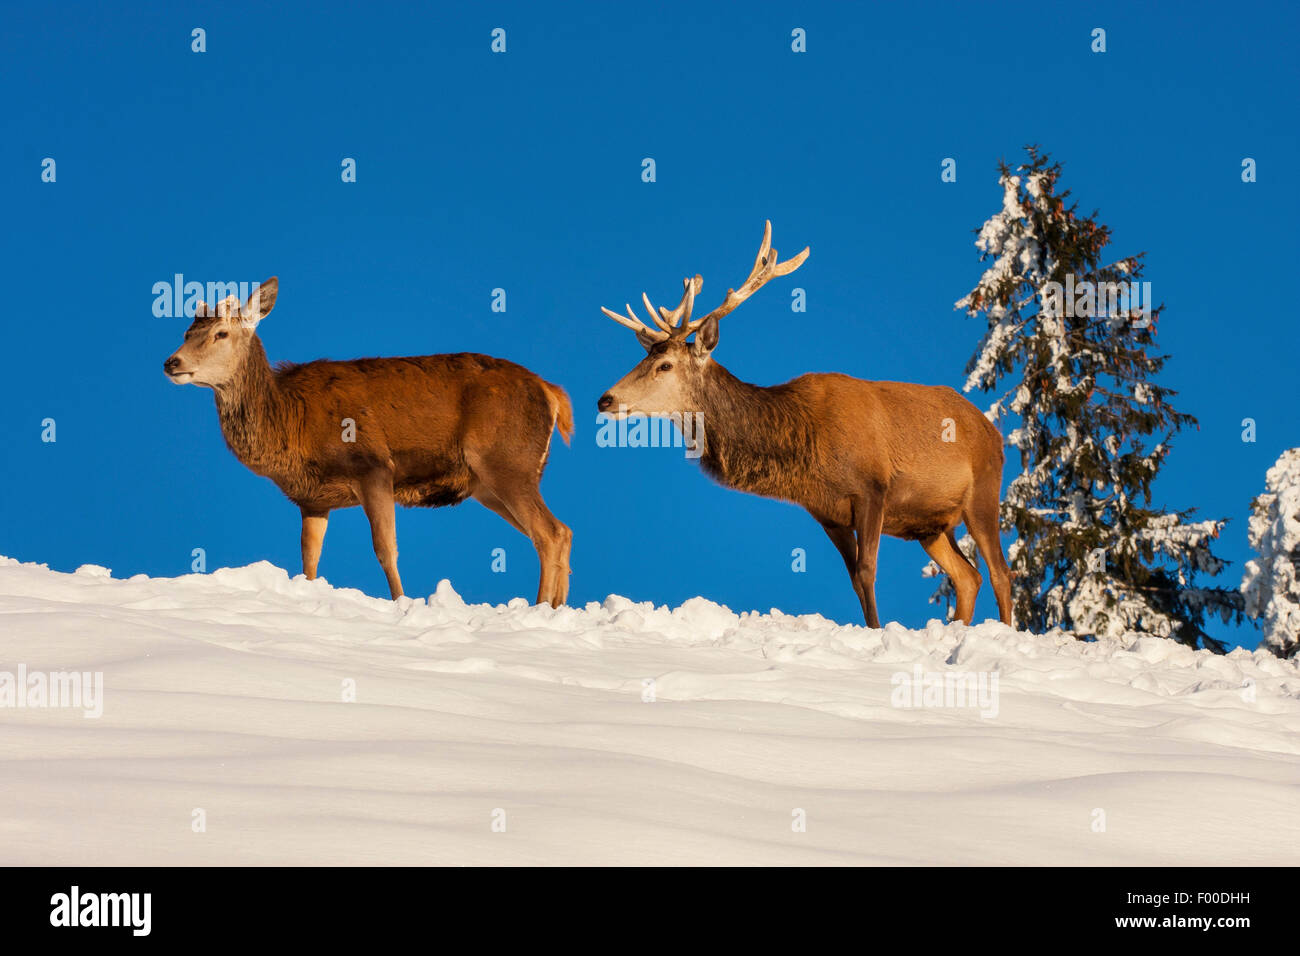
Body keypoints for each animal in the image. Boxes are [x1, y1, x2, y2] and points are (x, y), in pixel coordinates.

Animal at [165, 278, 572, 606]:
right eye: (186, 332)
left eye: (221, 333)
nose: (171, 362)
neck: (290, 423)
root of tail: (551, 392)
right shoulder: (313, 499)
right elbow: (309, 560)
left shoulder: (374, 465)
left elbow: (385, 549)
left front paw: (401, 603)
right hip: (488, 485)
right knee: (562, 532)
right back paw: (556, 608)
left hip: (506, 462)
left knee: (549, 533)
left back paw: (540, 608)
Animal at [598, 223, 1013, 629]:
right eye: (644, 358)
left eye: (665, 365)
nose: (605, 399)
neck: (804, 445)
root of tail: (992, 431)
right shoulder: (827, 513)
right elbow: (855, 581)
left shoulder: (873, 487)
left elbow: (867, 571)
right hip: (931, 525)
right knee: (968, 576)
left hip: (983, 491)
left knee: (999, 573)